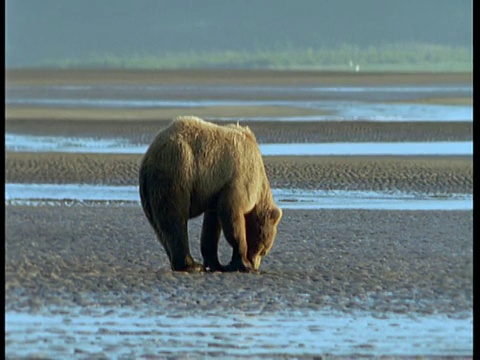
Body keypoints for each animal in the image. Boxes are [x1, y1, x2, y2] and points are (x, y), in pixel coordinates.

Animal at [138, 116, 282, 272]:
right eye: (264, 250)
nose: (256, 266)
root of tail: (149, 156)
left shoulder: (215, 191)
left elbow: (211, 226)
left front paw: (216, 264)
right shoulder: (239, 178)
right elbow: (231, 215)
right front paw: (243, 263)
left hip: (151, 191)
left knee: (160, 228)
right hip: (178, 170)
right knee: (174, 219)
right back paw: (192, 265)